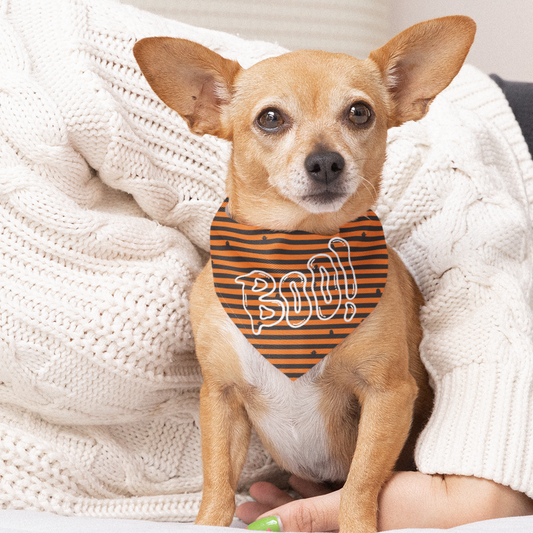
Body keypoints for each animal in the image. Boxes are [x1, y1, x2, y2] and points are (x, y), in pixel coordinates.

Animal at [135, 15, 476, 528]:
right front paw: (209, 523)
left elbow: (359, 486)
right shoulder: (221, 398)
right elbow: (217, 486)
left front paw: (354, 525)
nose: (326, 161)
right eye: (270, 118)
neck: (296, 255)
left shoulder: (388, 395)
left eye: (360, 112)